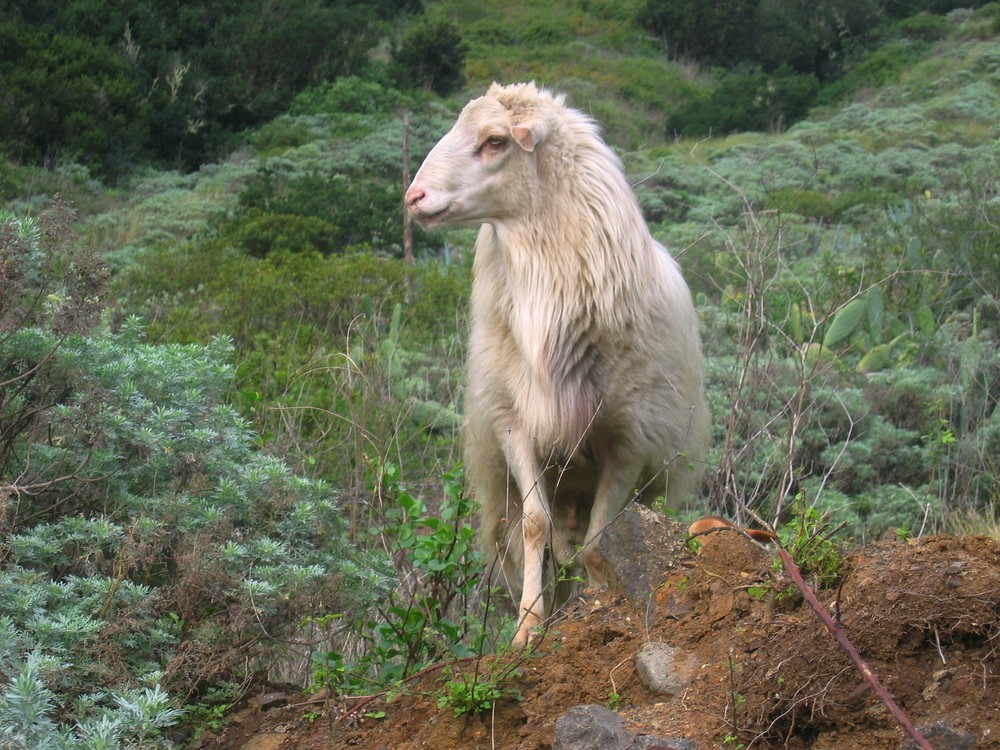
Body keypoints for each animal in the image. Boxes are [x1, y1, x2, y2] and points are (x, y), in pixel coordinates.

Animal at [402, 81, 708, 648]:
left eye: (495, 141)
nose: (413, 198)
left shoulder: (628, 439)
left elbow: (602, 540)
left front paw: (602, 606)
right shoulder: (513, 423)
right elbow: (535, 525)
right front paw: (527, 626)